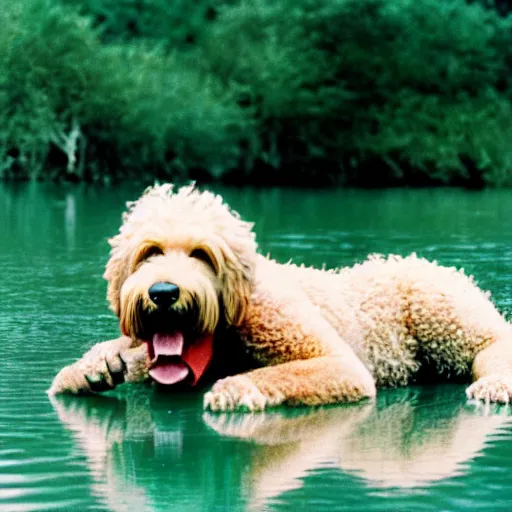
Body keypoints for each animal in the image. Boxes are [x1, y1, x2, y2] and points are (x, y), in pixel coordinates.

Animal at [50, 184, 512, 412]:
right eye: (149, 252)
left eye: (201, 254)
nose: (163, 292)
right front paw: (90, 367)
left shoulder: (274, 316)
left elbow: (316, 368)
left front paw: (235, 389)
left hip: (439, 306)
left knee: (490, 344)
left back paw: (493, 385)